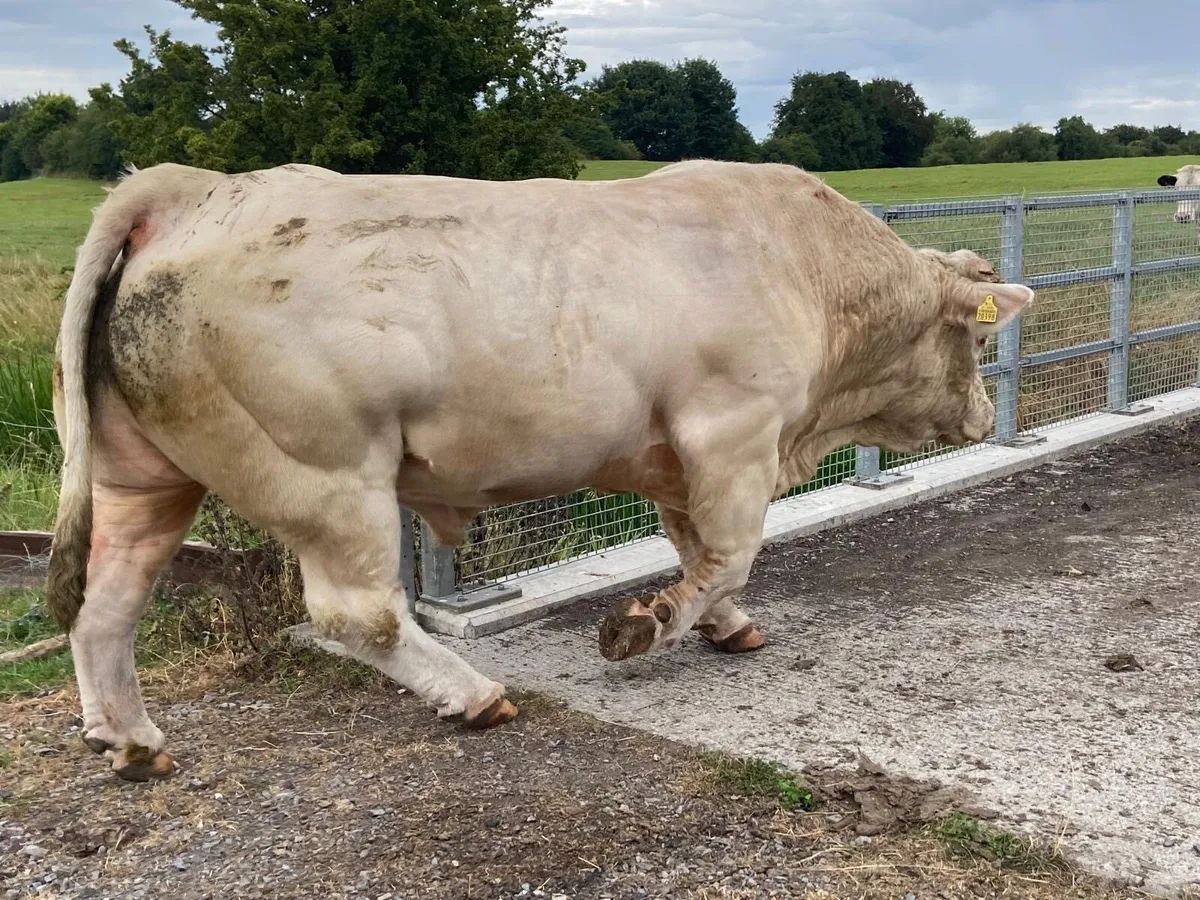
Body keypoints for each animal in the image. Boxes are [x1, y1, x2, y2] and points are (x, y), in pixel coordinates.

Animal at [45, 159, 1033, 780]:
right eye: (981, 339)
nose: (987, 416)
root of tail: (193, 194)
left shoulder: (679, 456)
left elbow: (700, 553)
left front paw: (722, 625)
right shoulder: (732, 433)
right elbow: (730, 553)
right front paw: (645, 626)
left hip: (147, 476)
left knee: (106, 604)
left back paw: (130, 740)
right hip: (326, 471)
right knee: (359, 613)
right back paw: (476, 695)